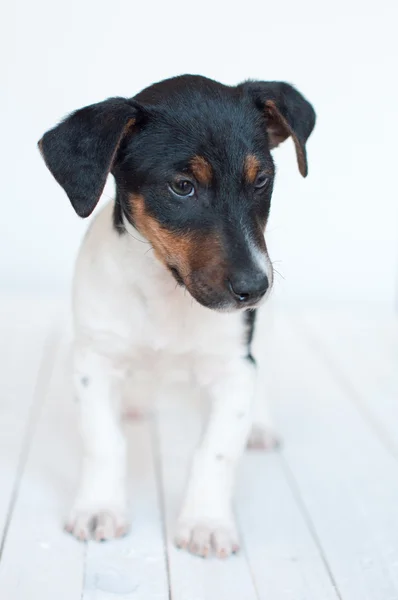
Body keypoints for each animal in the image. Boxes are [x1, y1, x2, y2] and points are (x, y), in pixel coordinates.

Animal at [38, 74, 316, 556]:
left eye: (261, 180)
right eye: (182, 186)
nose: (255, 288)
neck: (168, 291)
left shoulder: (233, 369)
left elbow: (216, 451)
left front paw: (206, 522)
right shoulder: (95, 361)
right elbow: (103, 441)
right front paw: (99, 508)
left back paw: (260, 425)